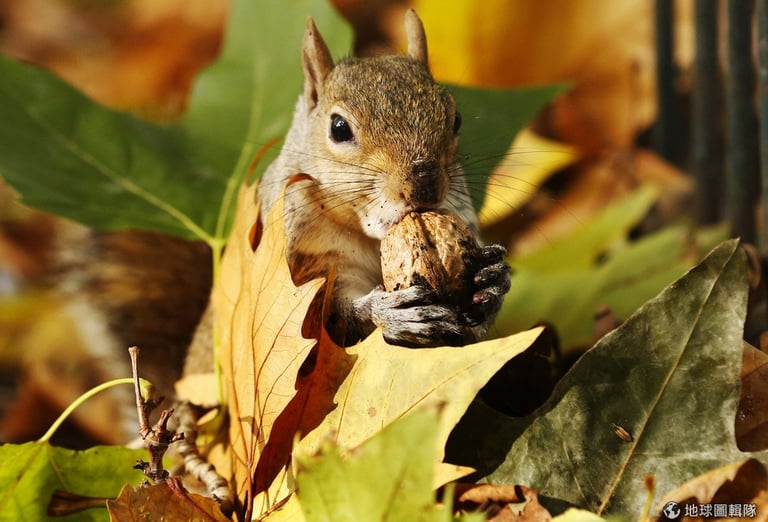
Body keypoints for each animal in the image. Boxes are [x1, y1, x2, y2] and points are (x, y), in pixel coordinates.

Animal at [54, 9, 510, 414]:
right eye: (339, 128)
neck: (368, 235)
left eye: (455, 118)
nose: (424, 186)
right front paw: (388, 313)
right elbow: (323, 324)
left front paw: (492, 280)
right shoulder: (299, 259)